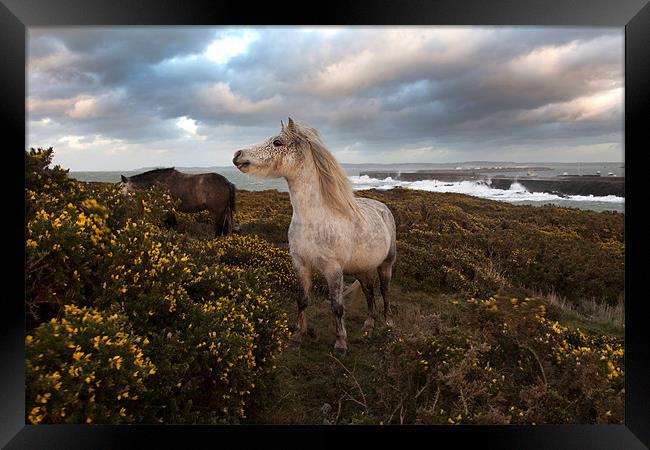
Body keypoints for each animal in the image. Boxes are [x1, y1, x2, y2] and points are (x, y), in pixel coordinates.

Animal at [233, 118, 394, 350]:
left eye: (277, 142)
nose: (237, 154)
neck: (314, 220)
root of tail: (383, 208)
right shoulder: (300, 265)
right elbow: (302, 300)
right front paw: (298, 336)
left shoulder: (333, 270)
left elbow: (337, 306)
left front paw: (340, 342)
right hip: (362, 269)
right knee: (369, 291)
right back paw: (369, 324)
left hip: (386, 264)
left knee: (384, 290)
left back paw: (388, 322)